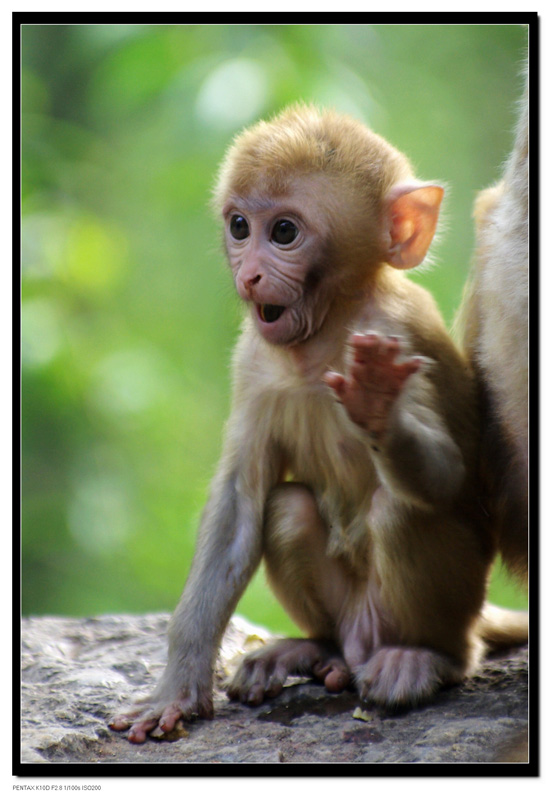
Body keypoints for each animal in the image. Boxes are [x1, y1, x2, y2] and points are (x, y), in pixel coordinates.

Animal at [109, 106, 532, 744]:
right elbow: (238, 505)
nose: (251, 274)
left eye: (284, 232)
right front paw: (176, 690)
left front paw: (378, 406)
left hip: (449, 606)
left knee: (400, 511)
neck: (328, 330)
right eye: (240, 226)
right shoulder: (252, 363)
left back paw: (421, 658)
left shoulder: (400, 335)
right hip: (346, 610)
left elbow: (447, 476)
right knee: (288, 509)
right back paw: (315, 650)